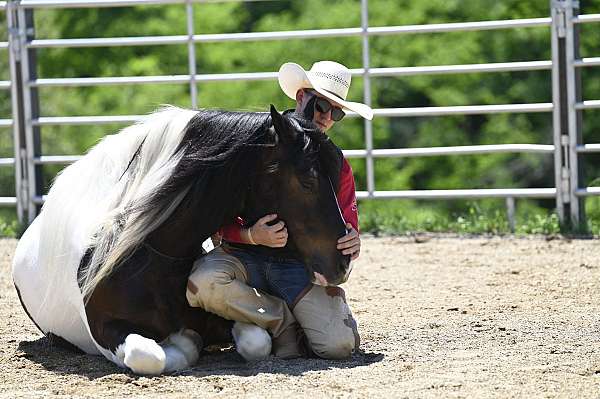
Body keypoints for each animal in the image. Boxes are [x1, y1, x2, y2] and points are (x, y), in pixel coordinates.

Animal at [10, 105, 352, 376]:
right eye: (307, 181)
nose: (342, 263)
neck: (149, 259)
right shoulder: (107, 333)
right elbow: (152, 355)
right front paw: (185, 343)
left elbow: (257, 340)